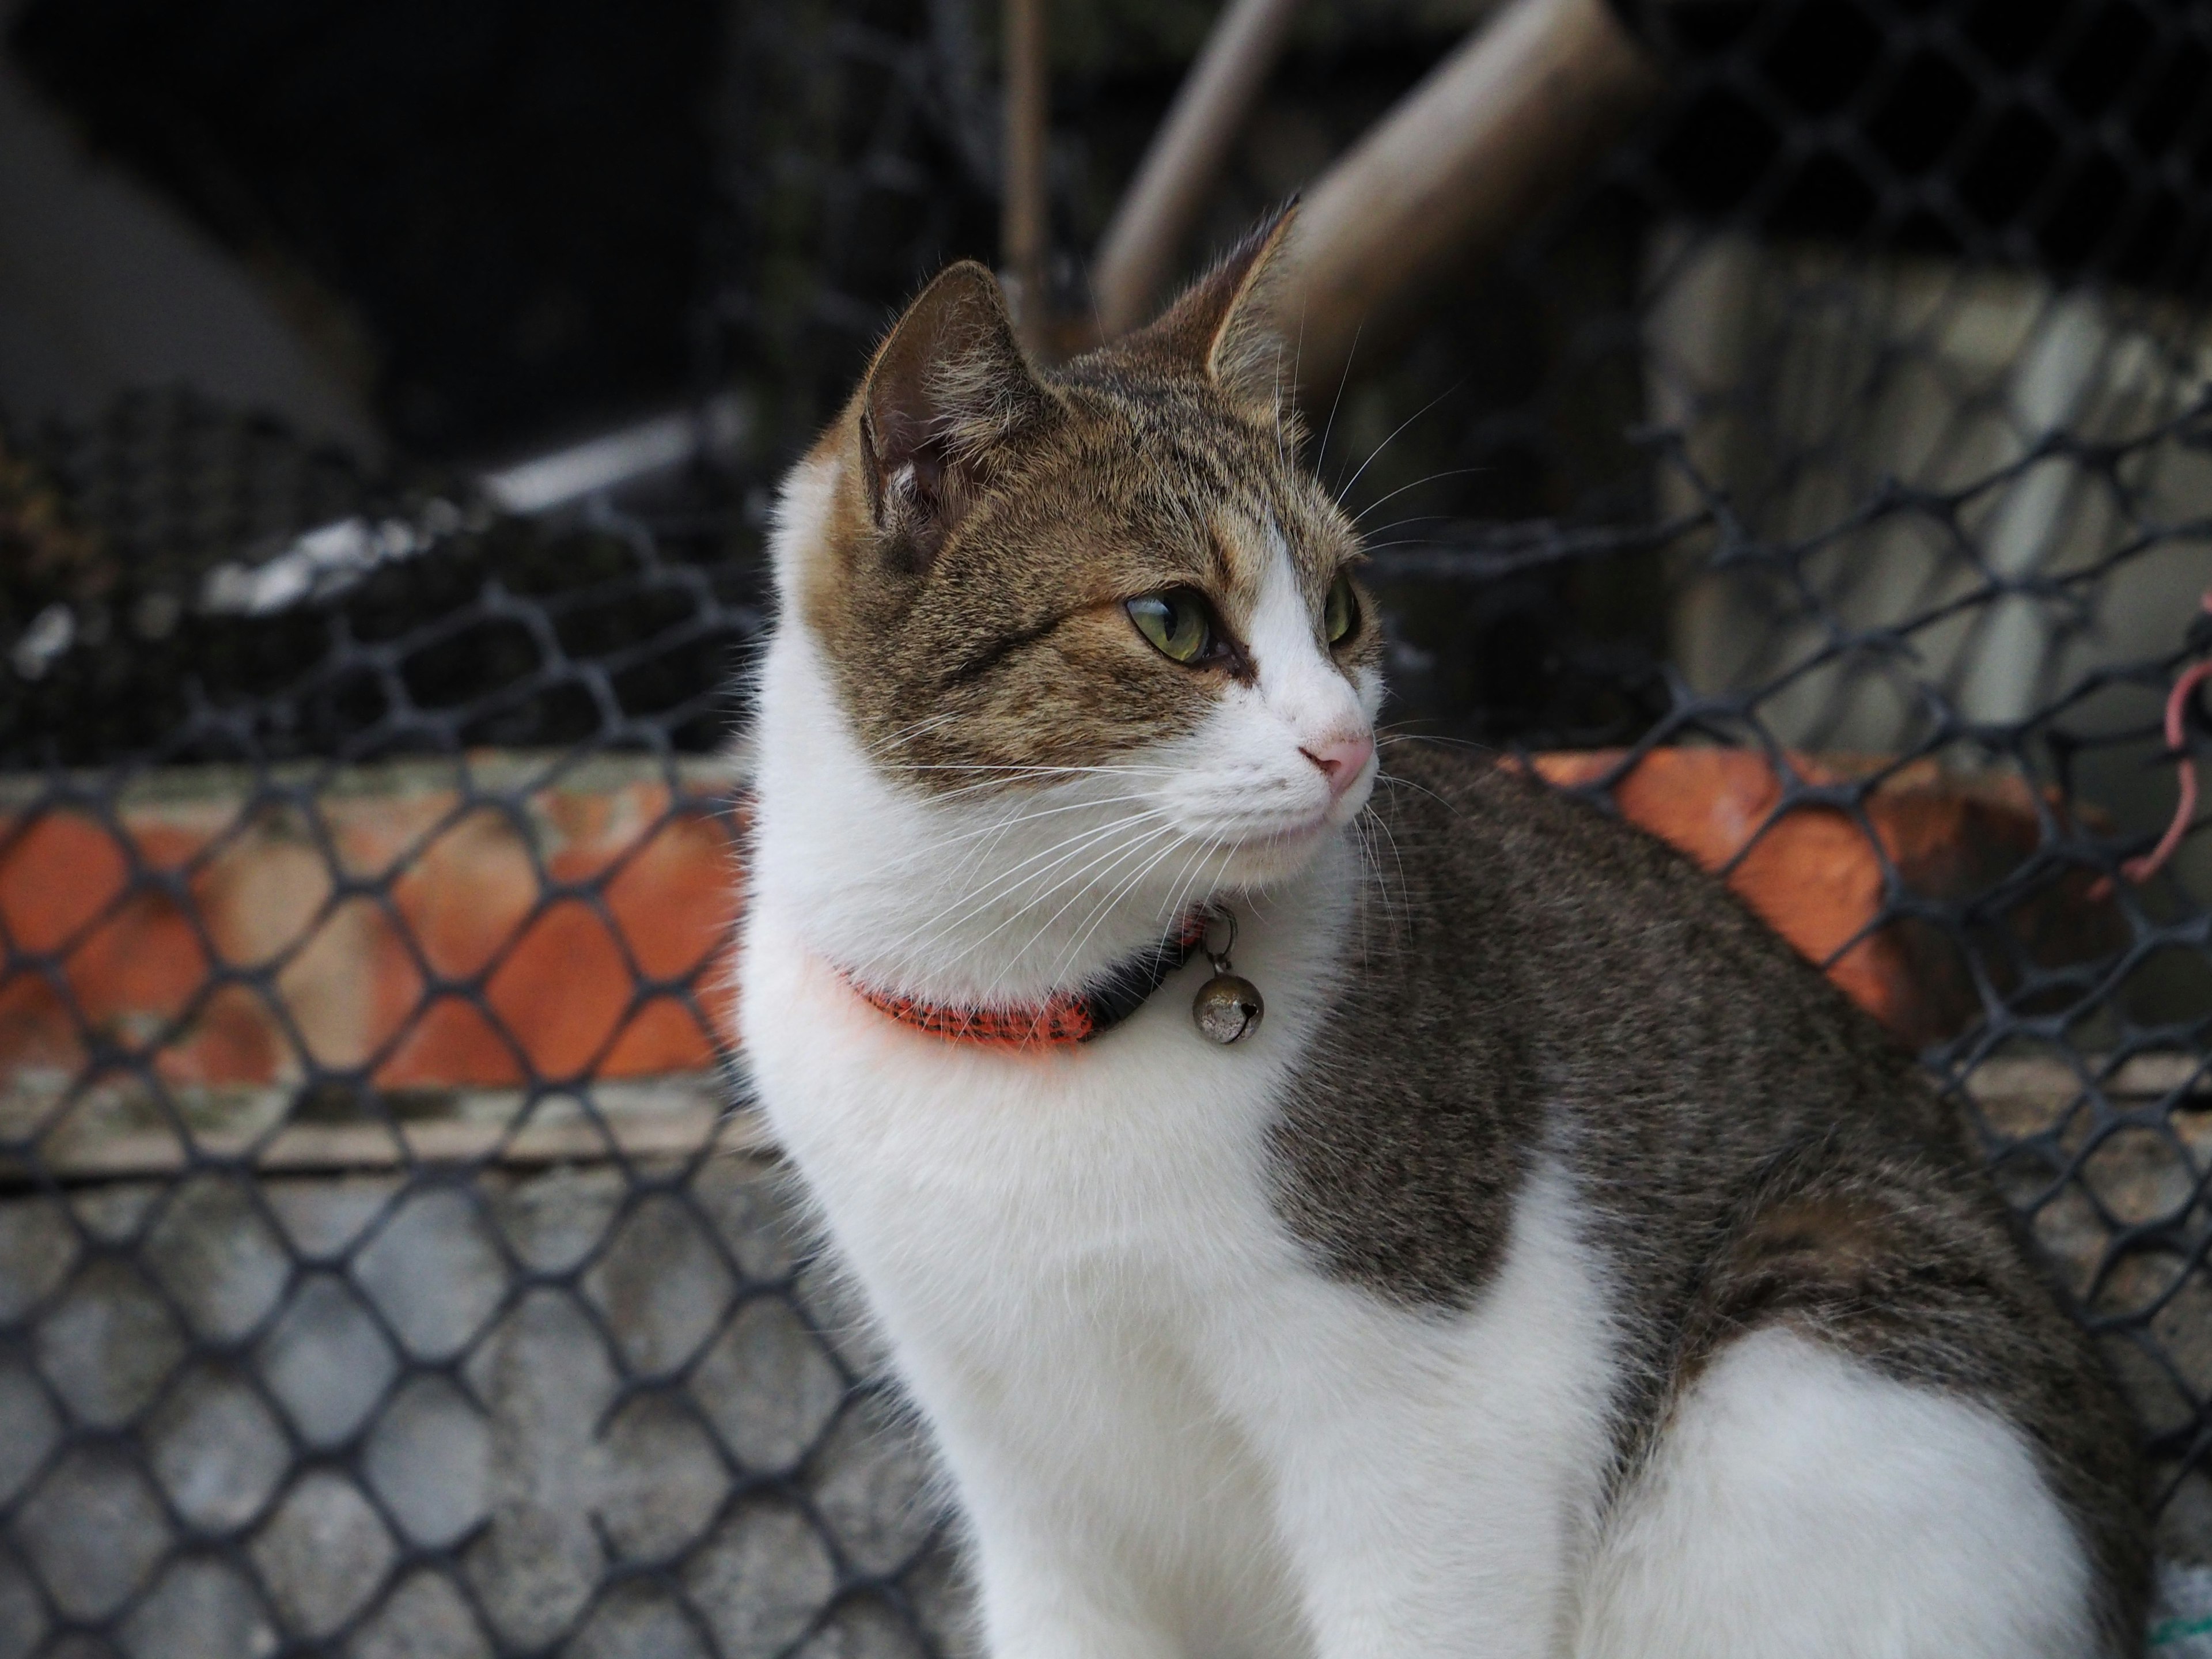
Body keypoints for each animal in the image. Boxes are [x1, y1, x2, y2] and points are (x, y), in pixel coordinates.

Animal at [738, 211, 2141, 1659]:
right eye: (1172, 621)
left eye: (1341, 610)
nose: (1344, 744)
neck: (1022, 1007)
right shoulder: (1020, 1473)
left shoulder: (1438, 1422)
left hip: (1822, 1345)